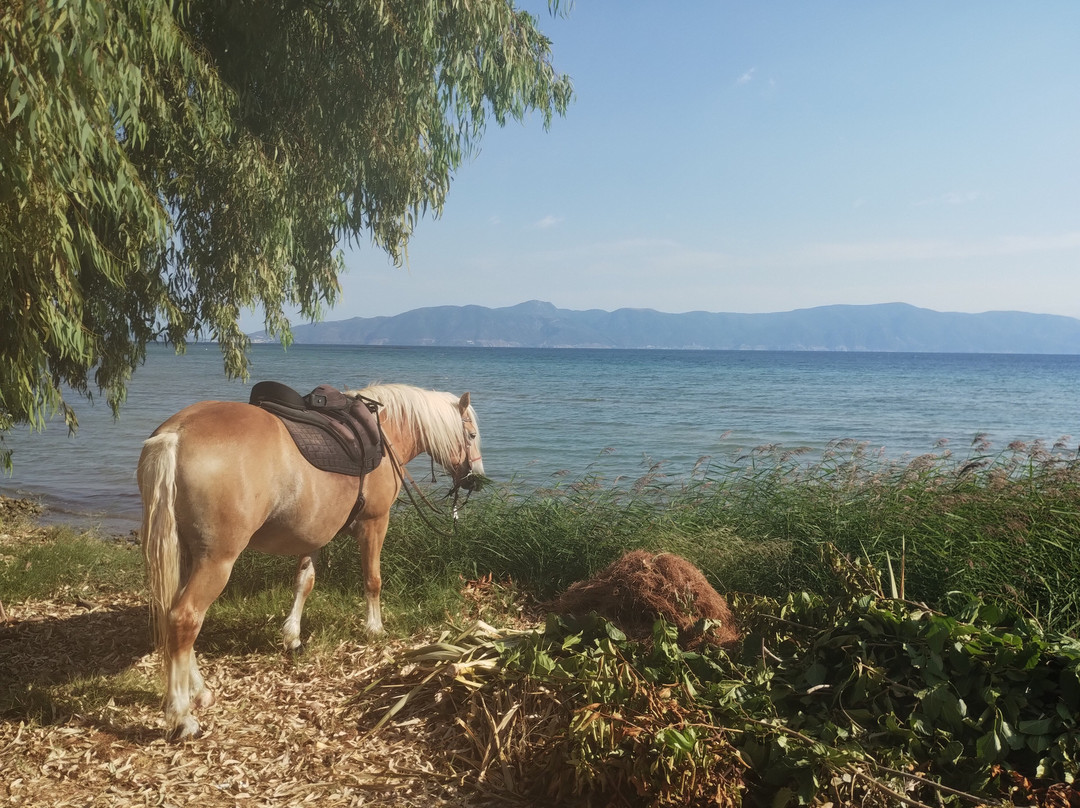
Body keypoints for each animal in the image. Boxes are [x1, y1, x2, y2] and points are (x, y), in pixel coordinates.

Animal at [137, 382, 484, 741]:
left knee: (174, 615)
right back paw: (182, 716)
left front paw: (293, 637)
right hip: (216, 560)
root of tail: (175, 435)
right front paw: (374, 627)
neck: (384, 432)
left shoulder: (316, 533)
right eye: (471, 434)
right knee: (185, 618)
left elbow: (305, 582)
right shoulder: (375, 523)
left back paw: (200, 691)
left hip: (186, 554)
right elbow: (372, 579)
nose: (476, 478)